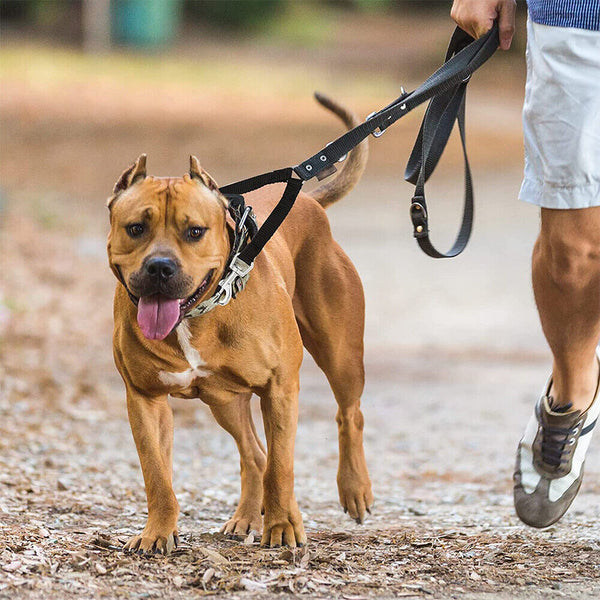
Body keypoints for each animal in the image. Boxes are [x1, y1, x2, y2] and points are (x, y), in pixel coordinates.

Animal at [106, 94, 370, 552]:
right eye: (135, 228)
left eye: (195, 231)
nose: (160, 267)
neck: (197, 316)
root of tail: (309, 201)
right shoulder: (144, 398)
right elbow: (157, 474)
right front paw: (158, 532)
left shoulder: (280, 389)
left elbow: (283, 466)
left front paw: (281, 528)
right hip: (224, 400)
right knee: (254, 454)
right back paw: (247, 516)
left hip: (341, 355)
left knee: (347, 414)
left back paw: (353, 489)